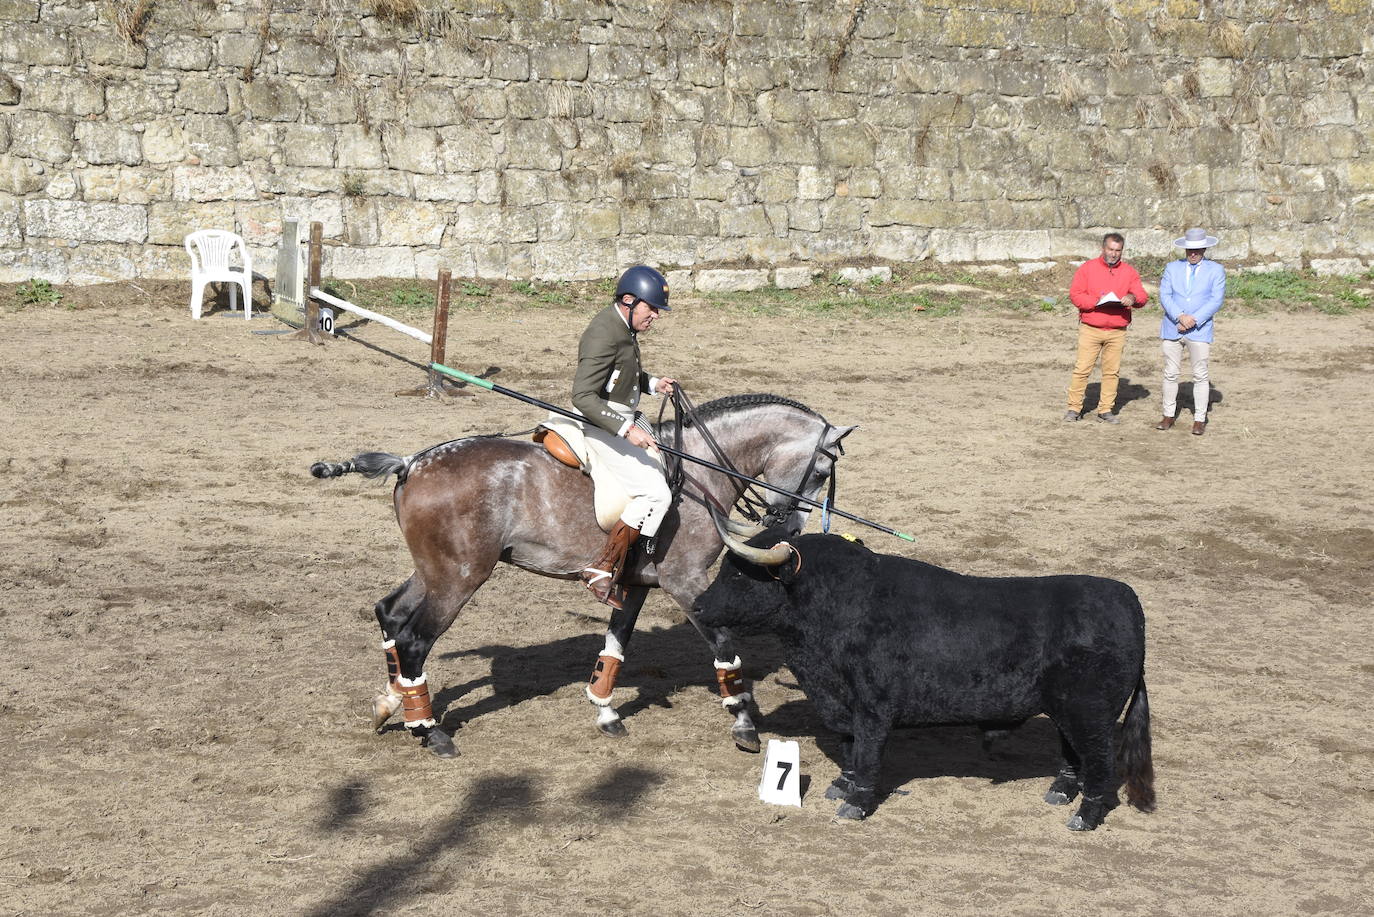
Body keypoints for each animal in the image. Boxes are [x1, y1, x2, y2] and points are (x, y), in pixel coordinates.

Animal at [311, 395, 851, 758]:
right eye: (821, 472)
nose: (791, 529)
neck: (698, 473)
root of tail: (411, 463)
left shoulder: (634, 585)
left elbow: (614, 649)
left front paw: (606, 712)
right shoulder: (687, 583)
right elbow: (725, 649)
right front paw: (743, 722)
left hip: (434, 572)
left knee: (390, 615)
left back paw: (394, 705)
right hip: (459, 578)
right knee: (415, 640)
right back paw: (430, 731)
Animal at [692, 530, 1154, 830]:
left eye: (739, 575)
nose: (696, 605)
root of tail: (1127, 599)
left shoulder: (874, 709)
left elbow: (867, 756)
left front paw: (855, 804)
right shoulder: (841, 703)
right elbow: (848, 748)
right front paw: (841, 786)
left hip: (1090, 716)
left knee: (1100, 765)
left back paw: (1084, 817)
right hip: (1066, 712)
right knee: (1072, 756)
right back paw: (1060, 791)